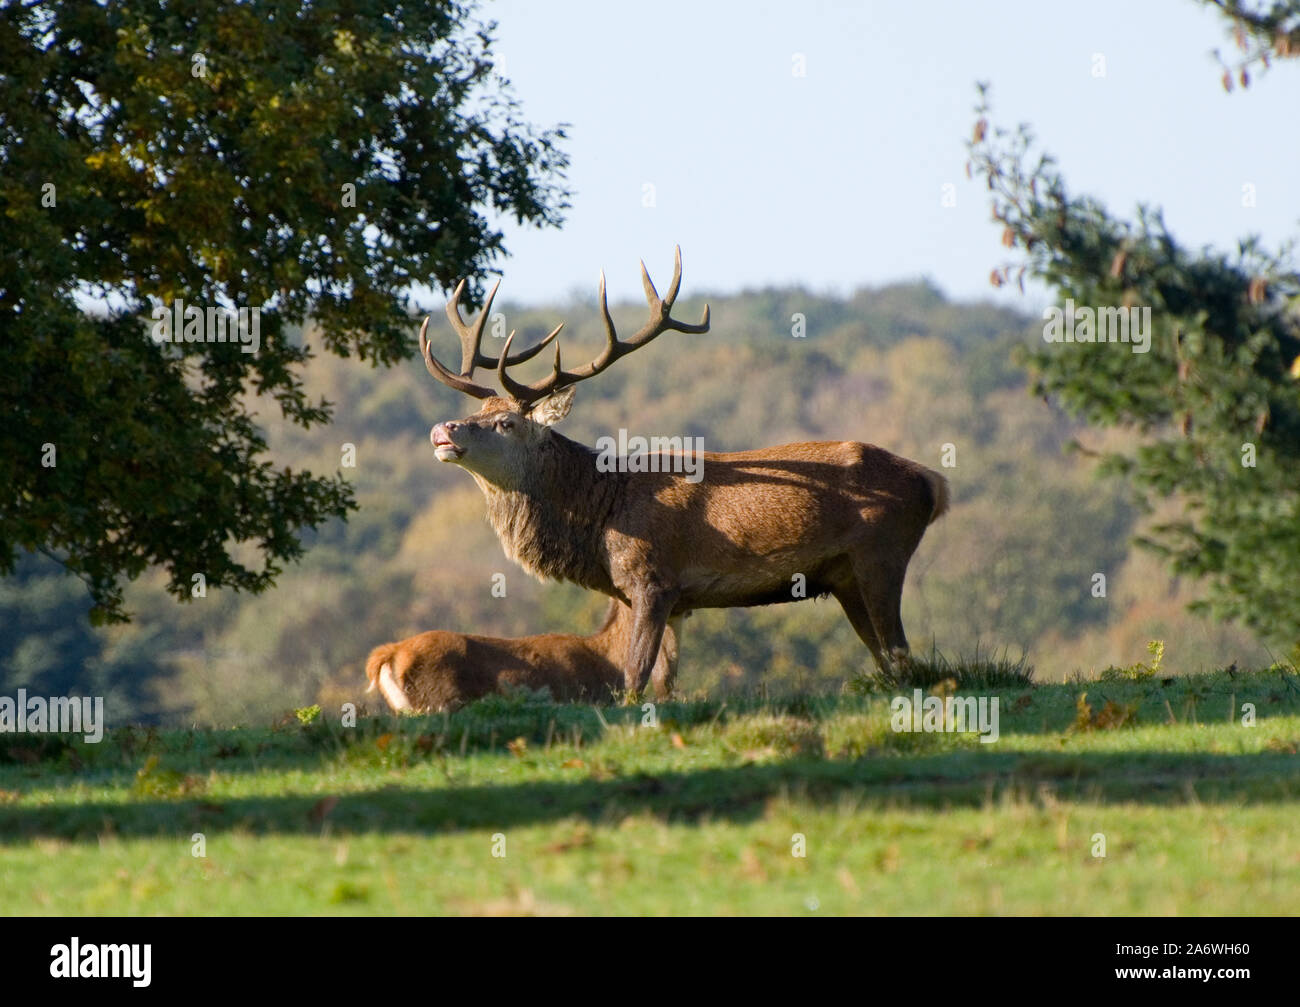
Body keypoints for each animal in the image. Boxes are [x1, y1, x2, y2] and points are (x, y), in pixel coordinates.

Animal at [418, 247, 950, 698]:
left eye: (506, 423)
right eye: (479, 409)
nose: (443, 429)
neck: (601, 518)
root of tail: (933, 482)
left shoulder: (653, 579)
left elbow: (633, 678)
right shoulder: (672, 602)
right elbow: (663, 682)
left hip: (881, 553)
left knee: (902, 655)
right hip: (844, 577)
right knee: (887, 659)